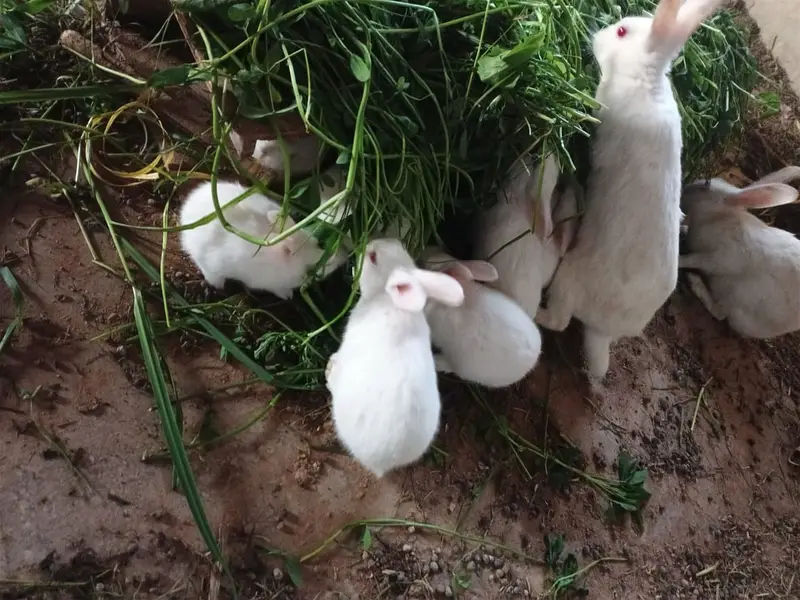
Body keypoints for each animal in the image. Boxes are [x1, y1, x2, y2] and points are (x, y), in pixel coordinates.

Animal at [534, 0, 723, 380]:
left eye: (621, 32)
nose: (598, 36)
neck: (645, 79)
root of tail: (603, 330)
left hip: (567, 280)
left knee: (559, 320)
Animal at [679, 166, 800, 338]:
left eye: (705, 185)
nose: (683, 188)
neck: (717, 218)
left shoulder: (717, 259)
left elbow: (691, 259)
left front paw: (678, 262)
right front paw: (682, 229)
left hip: (739, 301)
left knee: (721, 313)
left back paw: (695, 282)